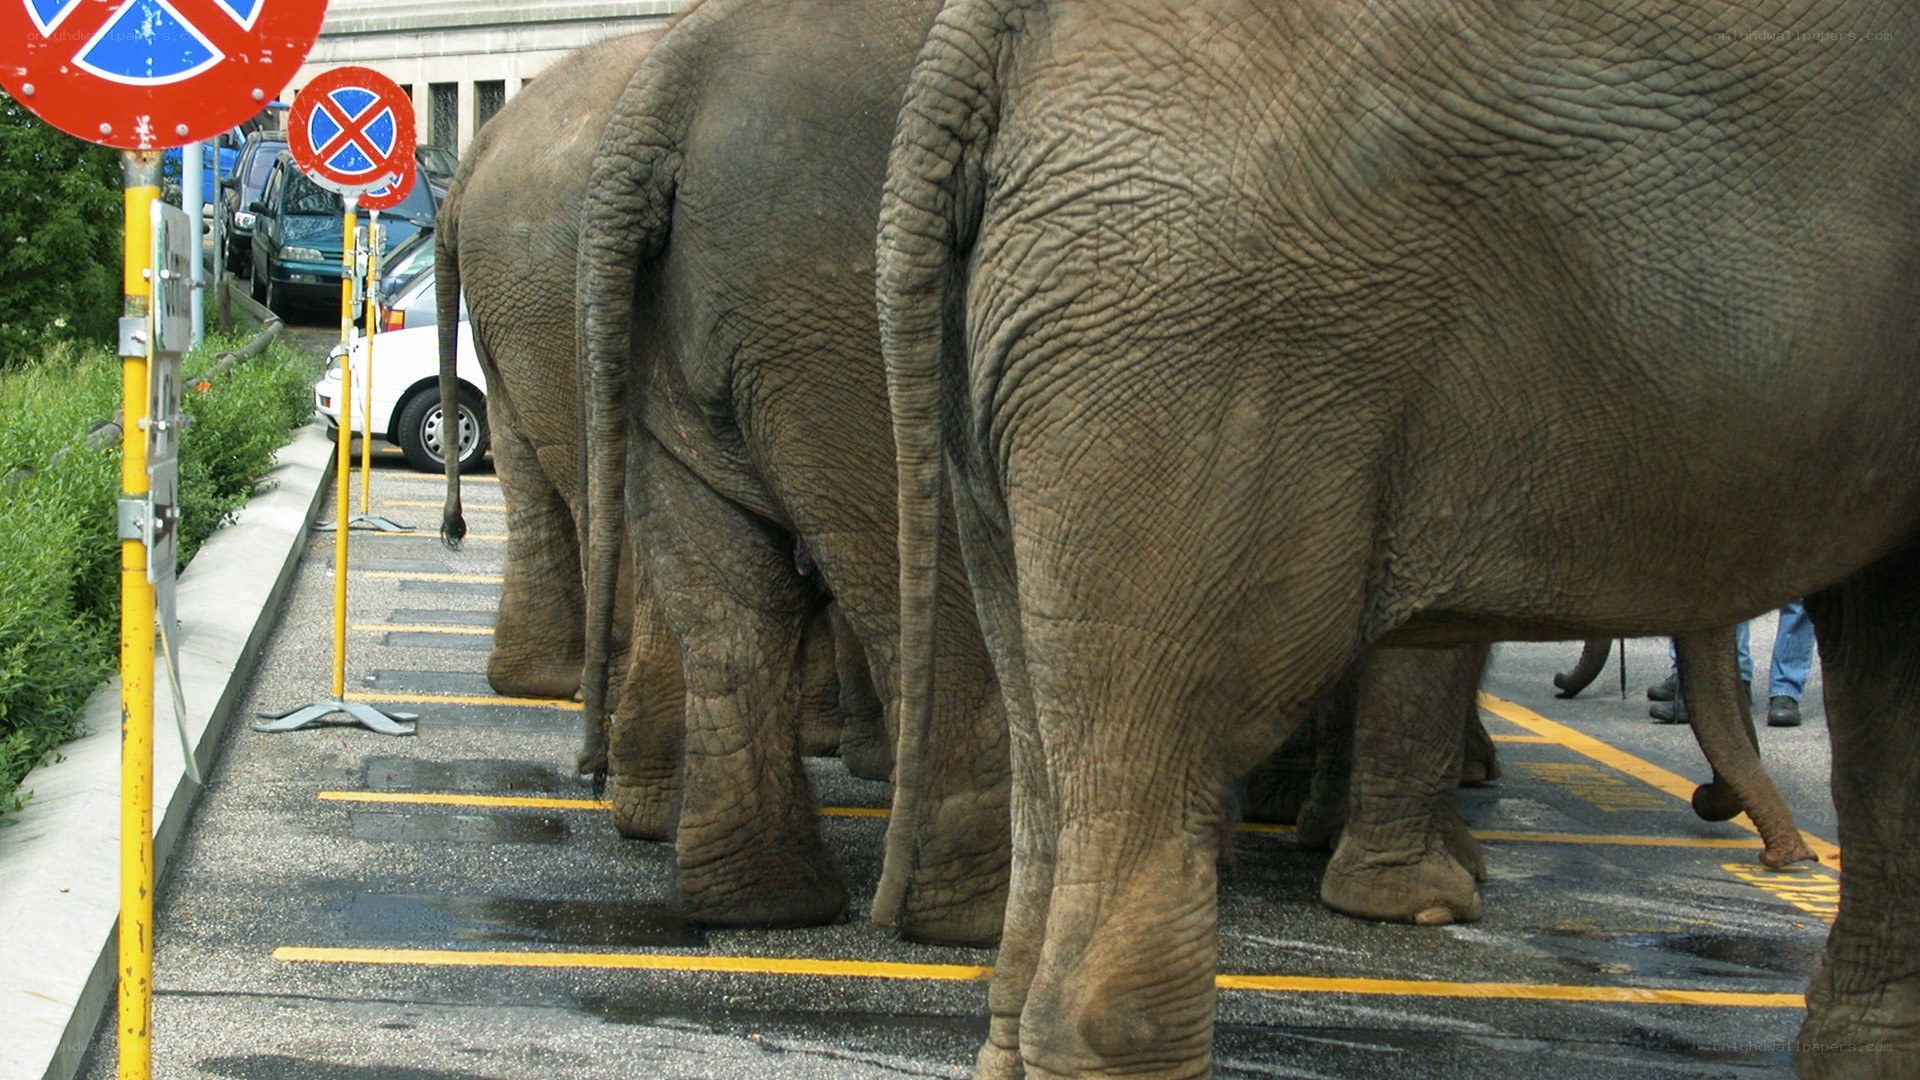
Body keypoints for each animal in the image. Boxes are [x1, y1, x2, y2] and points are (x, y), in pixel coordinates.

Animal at [575, 0, 1006, 944]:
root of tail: (664, 93)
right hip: (839, 336)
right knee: (935, 591)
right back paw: (968, 923)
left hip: (692, 343)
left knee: (731, 604)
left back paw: (758, 905)